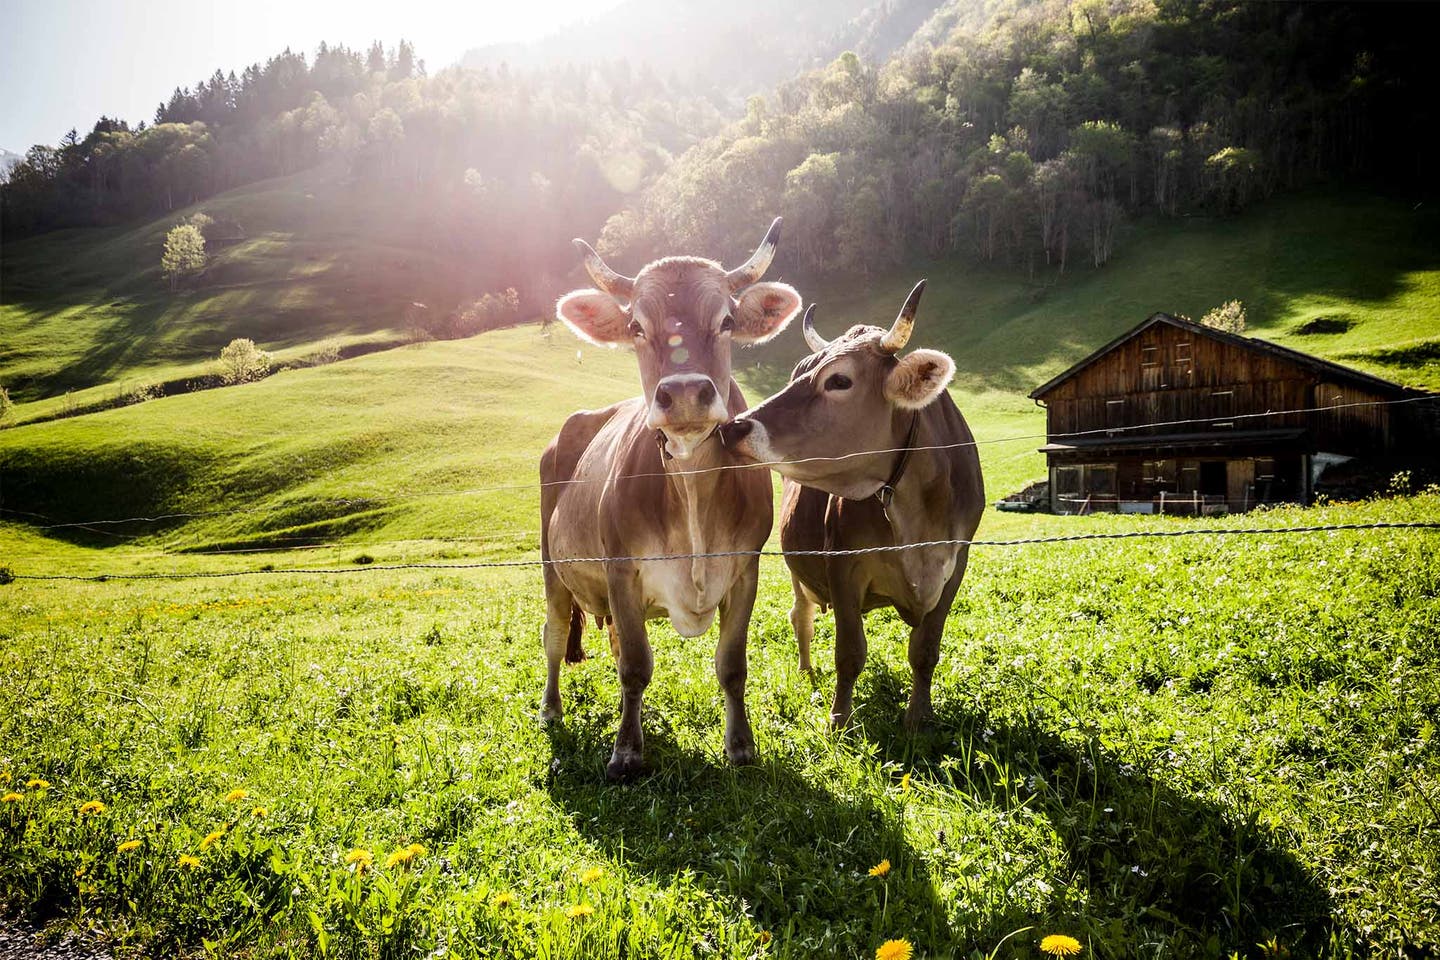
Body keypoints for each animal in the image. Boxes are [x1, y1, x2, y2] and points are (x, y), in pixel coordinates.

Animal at [541, 223, 806, 782]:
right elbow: (636, 666)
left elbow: (732, 665)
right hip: (553, 566)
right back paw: (551, 708)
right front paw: (625, 752)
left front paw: (740, 746)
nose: (684, 393)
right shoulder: (621, 570)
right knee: (554, 635)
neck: (690, 488)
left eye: (726, 320)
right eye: (636, 326)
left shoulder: (745, 570)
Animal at [717, 282, 984, 731]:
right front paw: (839, 720)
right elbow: (850, 652)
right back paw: (807, 671)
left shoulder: (955, 564)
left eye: (839, 380)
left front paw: (919, 716)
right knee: (801, 616)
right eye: (799, 371)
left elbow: (925, 649)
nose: (732, 427)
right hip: (798, 566)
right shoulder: (842, 564)